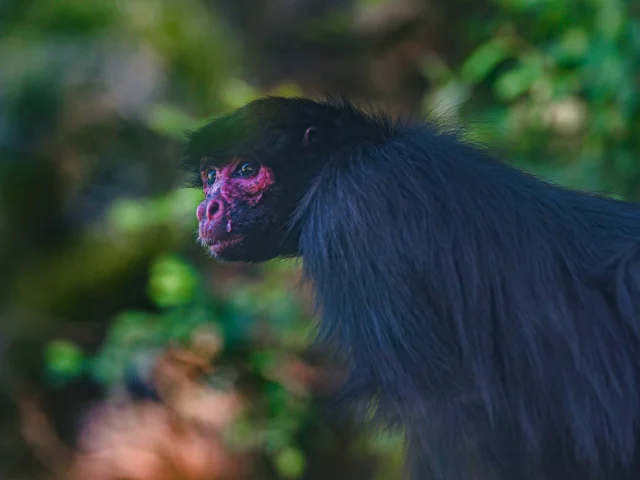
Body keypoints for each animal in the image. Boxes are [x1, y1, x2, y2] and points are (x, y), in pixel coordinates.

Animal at [184, 96, 640, 479]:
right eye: (210, 175)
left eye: (247, 169)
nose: (207, 208)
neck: (354, 156)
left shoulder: (353, 214)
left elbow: (449, 411)